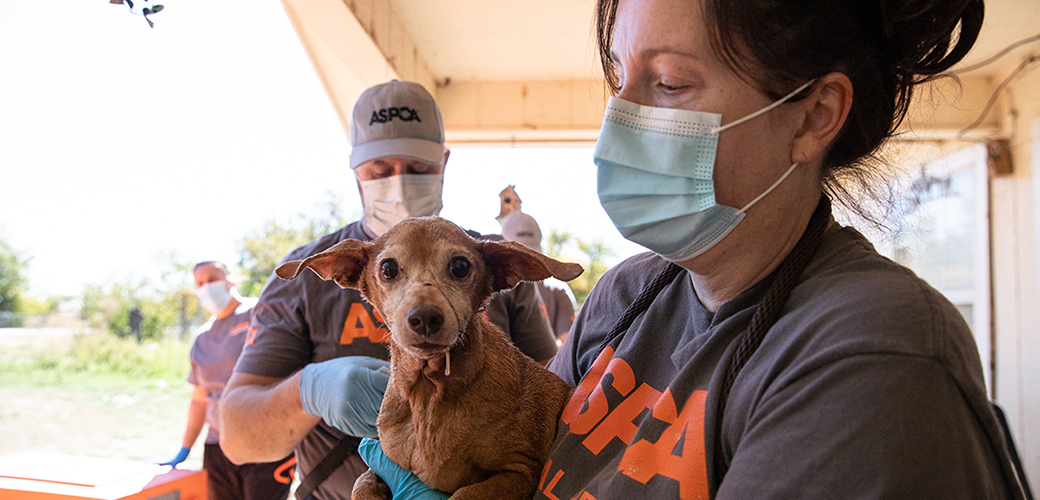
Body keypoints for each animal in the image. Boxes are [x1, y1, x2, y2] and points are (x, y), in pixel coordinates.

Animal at [276, 215, 582, 498]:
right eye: (388, 269)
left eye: (460, 266)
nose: (424, 317)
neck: (428, 391)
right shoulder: (384, 463)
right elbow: (361, 484)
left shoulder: (521, 471)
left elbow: (464, 494)